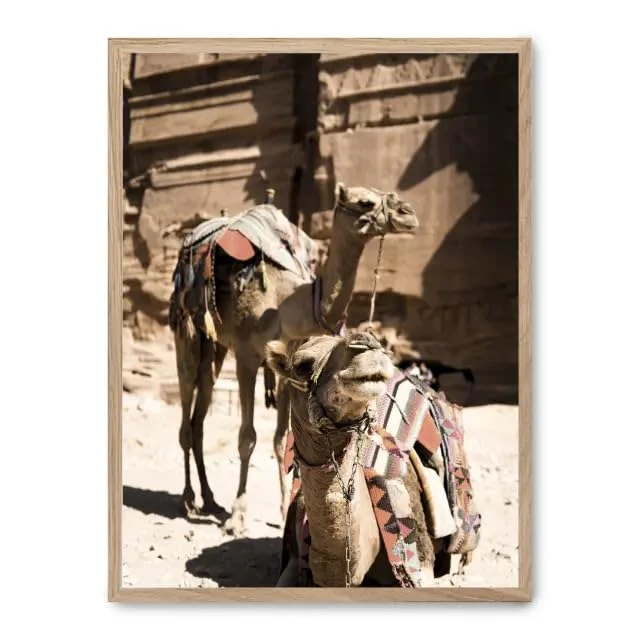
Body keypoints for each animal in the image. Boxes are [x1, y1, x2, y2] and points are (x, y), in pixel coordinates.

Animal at [169, 184, 419, 533]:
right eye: (364, 202)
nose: (408, 214)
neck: (288, 304)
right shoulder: (247, 354)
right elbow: (247, 438)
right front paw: (238, 516)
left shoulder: (288, 369)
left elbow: (280, 440)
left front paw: (282, 510)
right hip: (189, 332)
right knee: (186, 405)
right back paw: (190, 498)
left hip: (215, 347)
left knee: (200, 414)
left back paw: (209, 498)